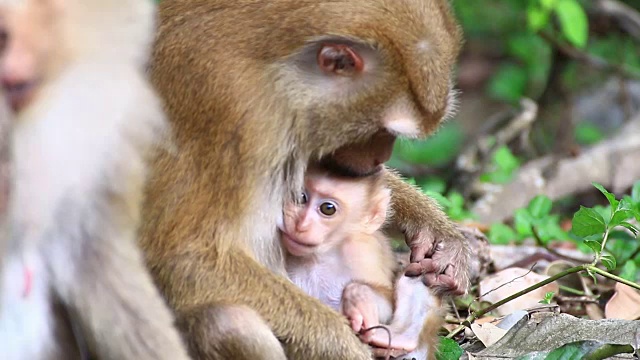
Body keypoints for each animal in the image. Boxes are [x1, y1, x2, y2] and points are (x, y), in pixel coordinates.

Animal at [282, 167, 442, 360]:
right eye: (301, 197)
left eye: (328, 209)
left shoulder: (364, 252)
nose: (301, 225)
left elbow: (388, 302)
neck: (319, 256)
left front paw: (359, 299)